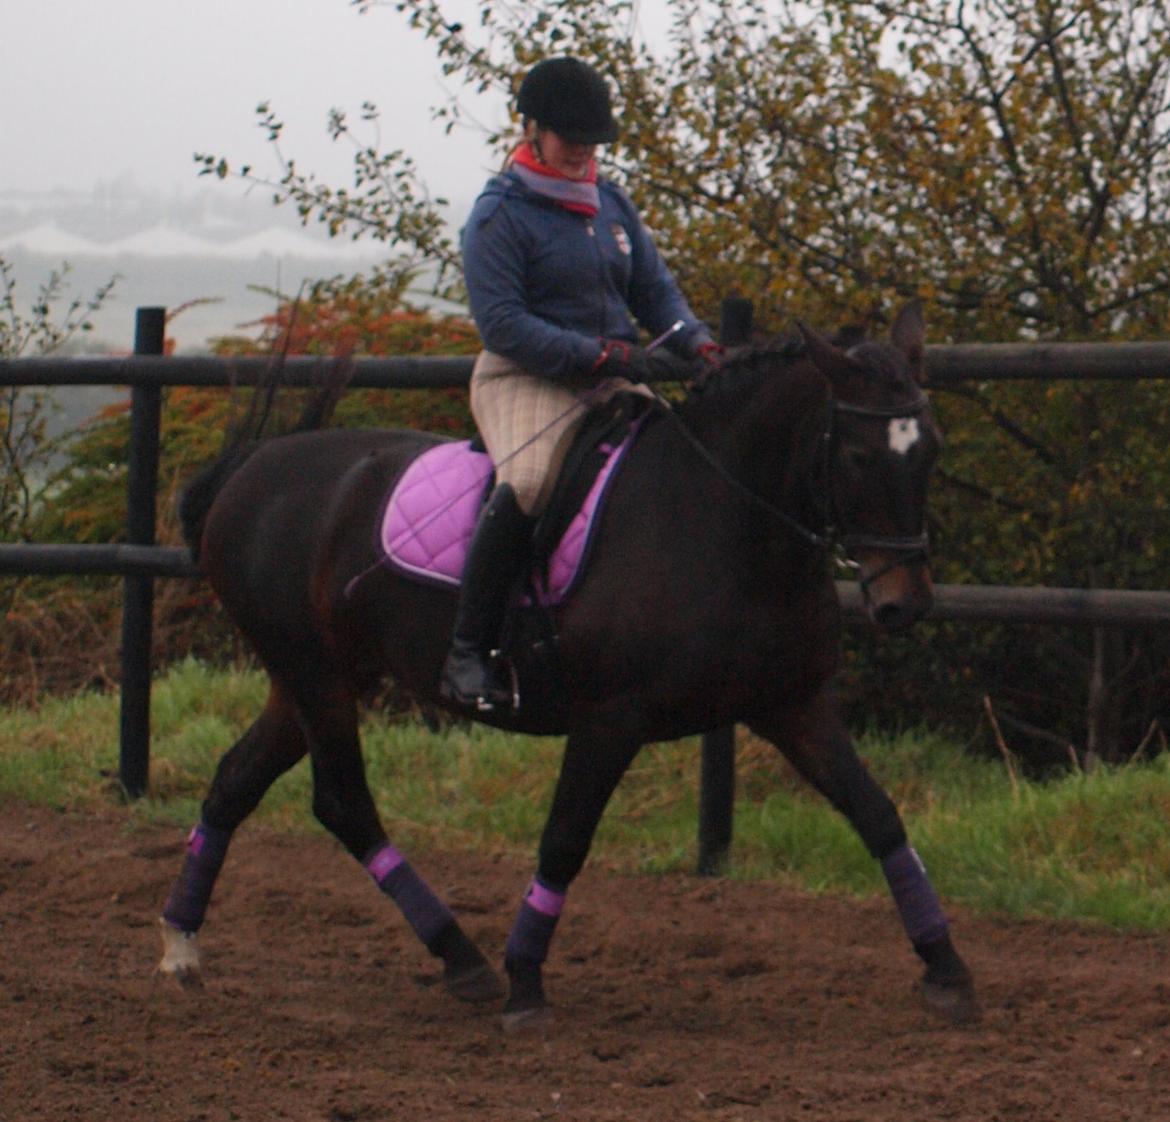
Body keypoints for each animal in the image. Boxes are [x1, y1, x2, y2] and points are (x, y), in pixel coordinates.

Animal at [155, 301, 978, 1029]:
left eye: (933, 448)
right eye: (861, 456)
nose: (904, 603)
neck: (726, 519)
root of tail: (253, 468)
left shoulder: (792, 705)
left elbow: (878, 816)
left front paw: (947, 971)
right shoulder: (611, 718)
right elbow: (565, 839)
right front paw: (525, 982)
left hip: (316, 677)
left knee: (239, 781)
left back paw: (182, 948)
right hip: (316, 676)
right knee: (344, 803)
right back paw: (466, 959)